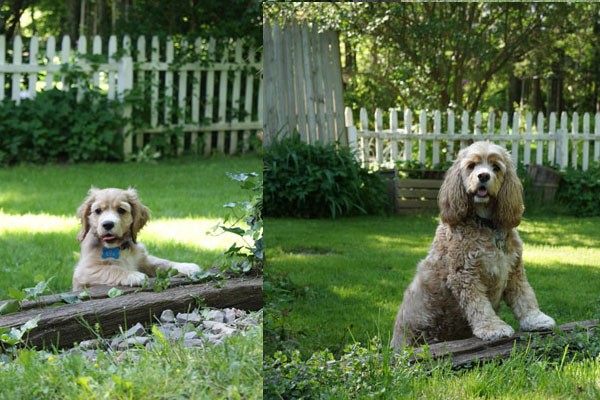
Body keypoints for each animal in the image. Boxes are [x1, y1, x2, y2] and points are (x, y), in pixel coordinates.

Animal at [72, 188, 202, 290]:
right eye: (98, 211)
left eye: (121, 210)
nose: (108, 224)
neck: (119, 247)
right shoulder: (84, 270)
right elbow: (112, 268)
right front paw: (133, 275)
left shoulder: (143, 259)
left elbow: (162, 262)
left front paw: (185, 266)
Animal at [392, 142, 556, 348]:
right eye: (471, 166)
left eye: (496, 167)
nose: (483, 176)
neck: (487, 225)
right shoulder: (465, 274)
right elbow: (479, 306)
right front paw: (493, 328)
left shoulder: (514, 270)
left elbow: (524, 295)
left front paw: (535, 319)